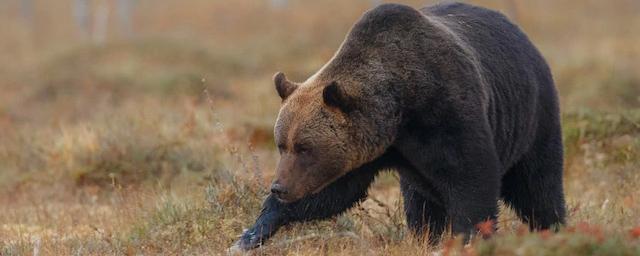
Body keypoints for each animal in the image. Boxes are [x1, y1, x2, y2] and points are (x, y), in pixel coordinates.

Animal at [230, 1, 564, 250]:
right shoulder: (368, 150)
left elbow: (472, 180)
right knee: (420, 202)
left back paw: (554, 229)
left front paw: (470, 238)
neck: (400, 111)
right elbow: (332, 194)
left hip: (533, 115)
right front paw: (250, 234)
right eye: (281, 144)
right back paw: (425, 236)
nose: (278, 186)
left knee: (538, 185)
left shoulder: (447, 114)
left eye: (304, 147)